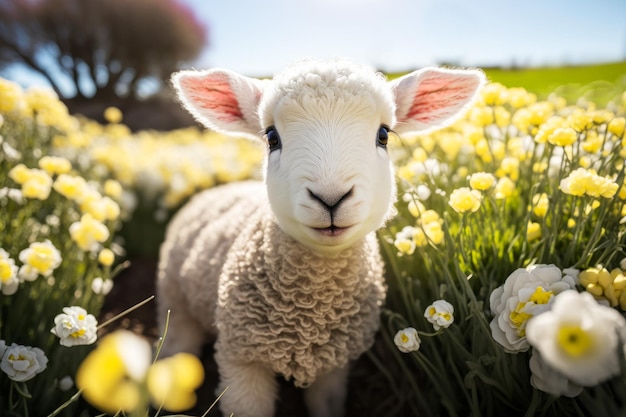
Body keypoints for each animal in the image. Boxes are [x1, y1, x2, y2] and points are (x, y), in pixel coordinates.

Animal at [156, 56, 482, 416]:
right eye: (272, 138)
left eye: (383, 135)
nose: (330, 198)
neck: (311, 313)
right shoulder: (242, 359)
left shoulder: (333, 365)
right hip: (173, 295)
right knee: (177, 340)